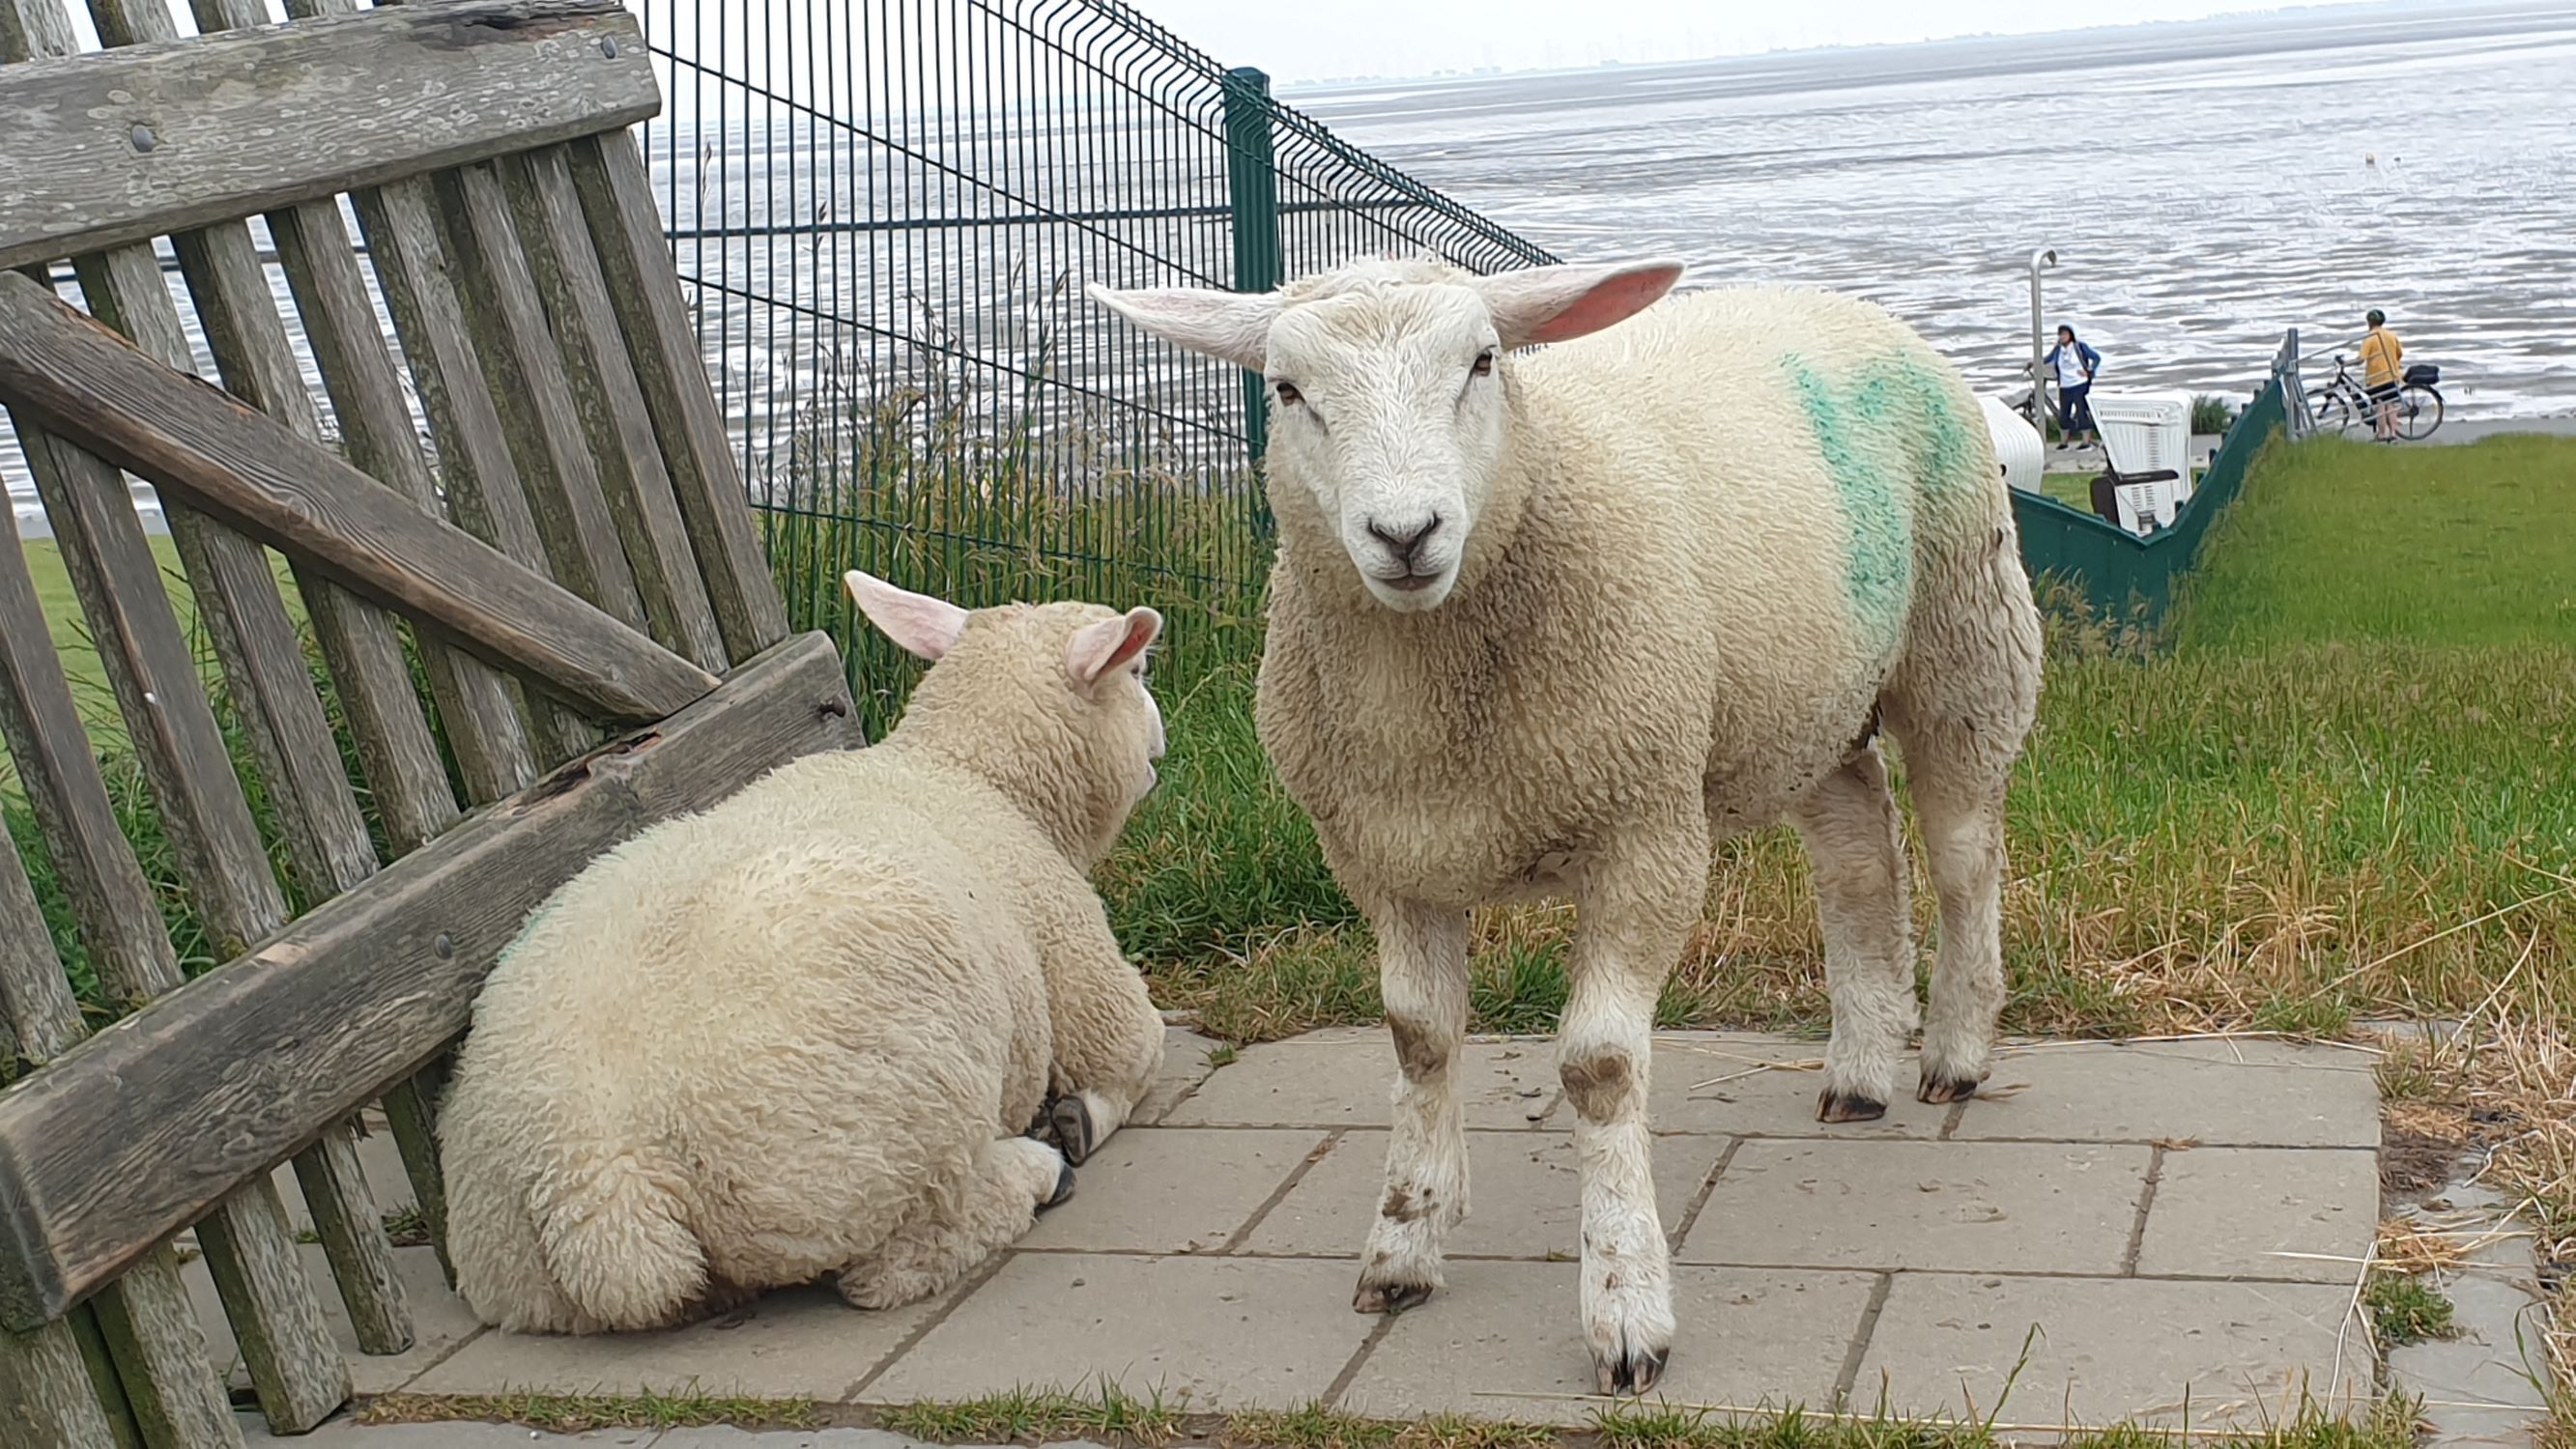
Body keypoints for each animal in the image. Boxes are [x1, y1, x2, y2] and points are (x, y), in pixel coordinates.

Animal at [437, 572, 1170, 1334]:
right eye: (1137, 672)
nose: (1160, 745)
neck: (968, 773)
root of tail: (600, 1185)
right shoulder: (1076, 958)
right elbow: (1135, 1054)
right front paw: (1081, 1117)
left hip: (524, 1274)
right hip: (877, 1140)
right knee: (896, 1263)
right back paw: (1040, 1172)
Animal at [1090, 257, 2042, 1394]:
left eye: (1481, 362)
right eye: (1285, 390)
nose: (1405, 535)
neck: (1425, 701)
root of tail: (1831, 298)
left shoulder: (1644, 831)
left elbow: (1598, 1068)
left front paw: (1625, 1309)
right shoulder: (1383, 856)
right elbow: (1418, 1040)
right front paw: (1405, 1242)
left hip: (1963, 638)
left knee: (1963, 860)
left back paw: (1954, 1052)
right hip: (1799, 698)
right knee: (1857, 854)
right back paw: (1858, 1069)